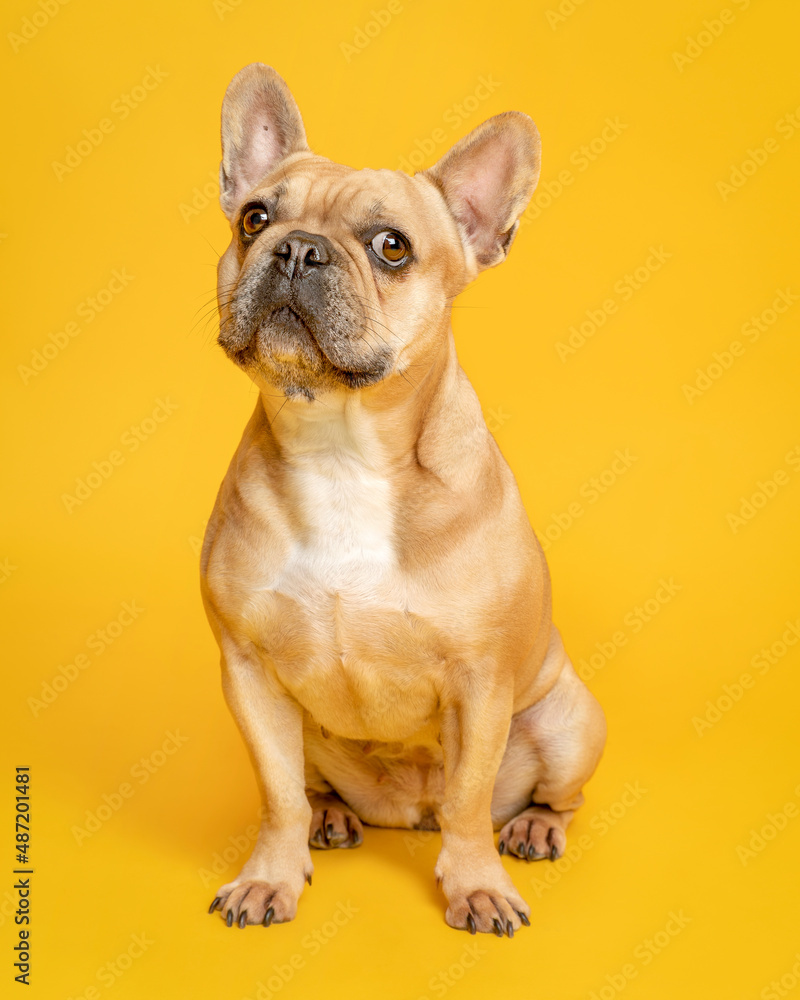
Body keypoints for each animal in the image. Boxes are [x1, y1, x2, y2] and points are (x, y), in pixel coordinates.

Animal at [202, 64, 608, 936]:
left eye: (391, 247)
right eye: (254, 218)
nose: (296, 249)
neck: (342, 448)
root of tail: (404, 810)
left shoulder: (480, 682)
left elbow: (467, 800)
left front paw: (476, 885)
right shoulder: (248, 671)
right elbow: (276, 795)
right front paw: (271, 875)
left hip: (568, 721)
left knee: (545, 796)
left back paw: (532, 827)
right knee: (312, 786)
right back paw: (330, 817)